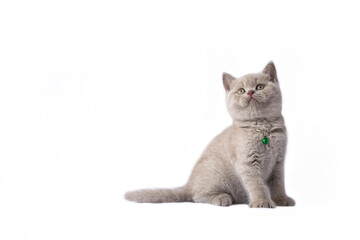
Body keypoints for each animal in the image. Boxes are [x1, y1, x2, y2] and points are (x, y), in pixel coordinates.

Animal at [125, 62, 294, 208]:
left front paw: (282, 200)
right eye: (241, 91)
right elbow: (256, 185)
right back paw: (222, 198)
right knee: (196, 196)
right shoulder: (247, 163)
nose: (251, 92)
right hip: (216, 178)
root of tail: (189, 184)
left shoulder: (278, 163)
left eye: (260, 87)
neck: (262, 126)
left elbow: (278, 184)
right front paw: (261, 202)